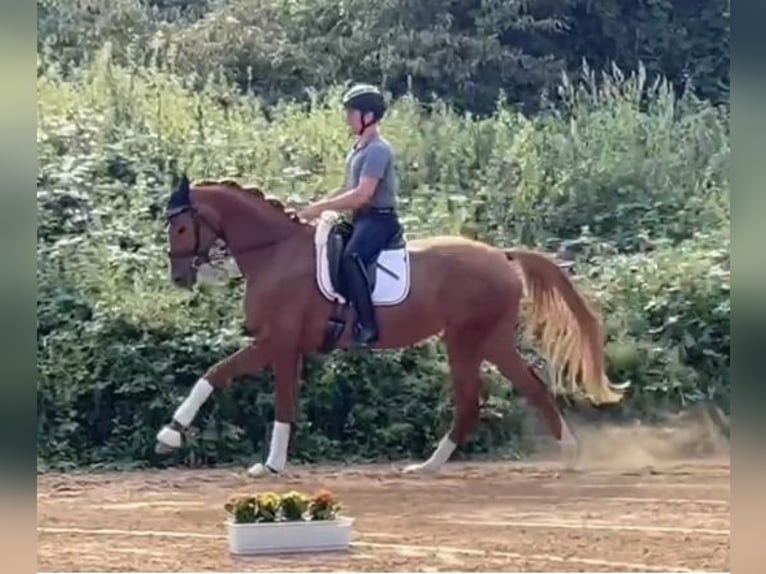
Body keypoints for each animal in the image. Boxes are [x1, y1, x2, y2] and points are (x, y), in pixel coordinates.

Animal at [156, 176, 632, 476]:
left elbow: (260, 394)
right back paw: (433, 466)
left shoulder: (279, 343)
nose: (178, 278)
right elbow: (220, 378)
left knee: (482, 398)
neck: (276, 253)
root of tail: (502, 255)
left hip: (467, 340)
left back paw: (564, 454)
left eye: (180, 227)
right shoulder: (281, 346)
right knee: (513, 391)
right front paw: (173, 436)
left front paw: (265, 464)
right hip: (488, 341)